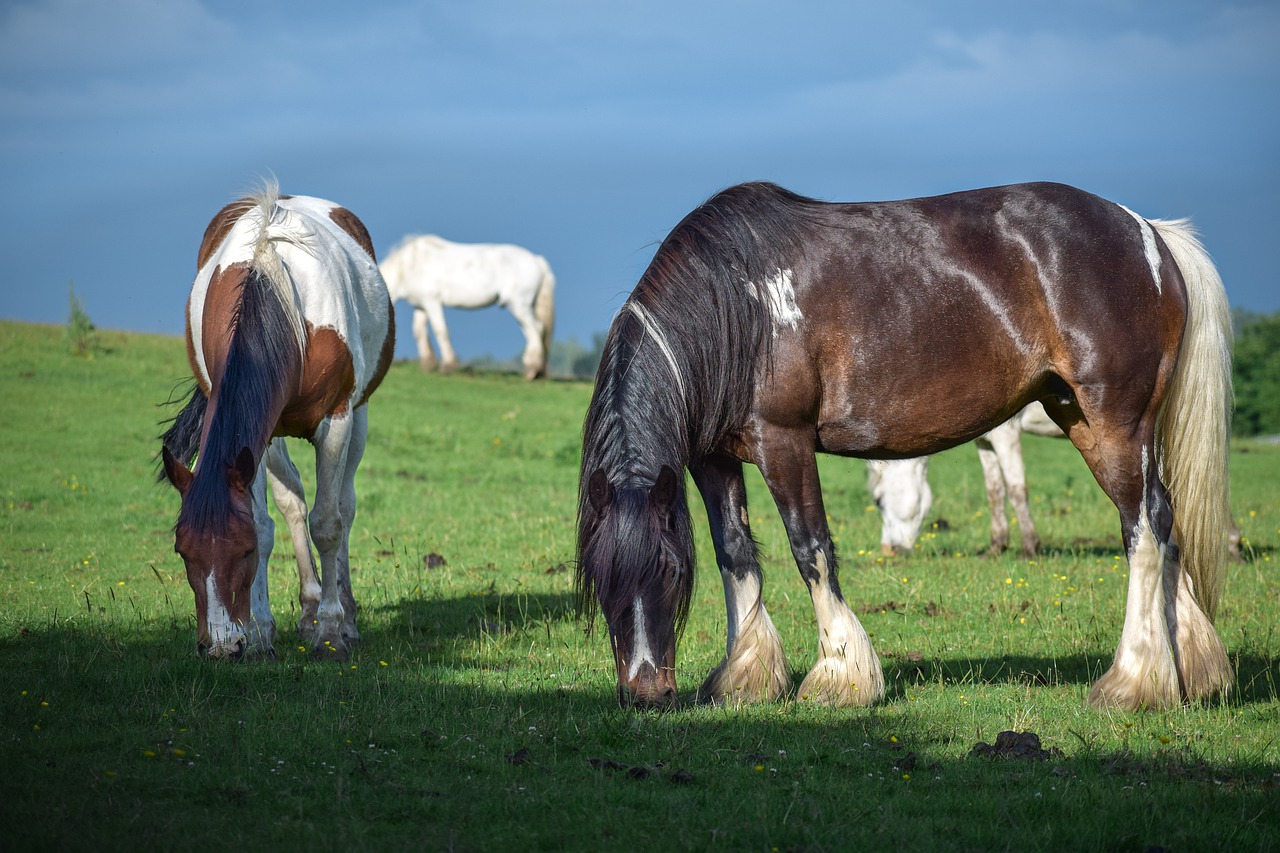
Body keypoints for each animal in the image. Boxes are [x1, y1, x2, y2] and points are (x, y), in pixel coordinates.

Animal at [159, 185, 391, 660]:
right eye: (182, 552)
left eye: (242, 552)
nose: (221, 648)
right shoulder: (256, 441)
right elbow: (267, 523)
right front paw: (261, 632)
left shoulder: (337, 419)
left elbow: (328, 524)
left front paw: (331, 631)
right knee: (293, 504)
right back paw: (307, 609)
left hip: (358, 417)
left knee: (344, 507)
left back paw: (344, 617)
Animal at [378, 233, 560, 379]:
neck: (409, 265)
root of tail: (537, 260)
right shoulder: (421, 305)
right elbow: (419, 332)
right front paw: (428, 365)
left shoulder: (432, 302)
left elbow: (440, 331)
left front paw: (448, 366)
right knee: (534, 332)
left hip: (518, 305)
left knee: (536, 330)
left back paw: (532, 371)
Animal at [578, 180, 1228, 712]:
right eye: (602, 576)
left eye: (668, 572)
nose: (646, 692)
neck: (737, 305)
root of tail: (1149, 232)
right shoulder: (713, 459)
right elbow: (734, 554)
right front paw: (743, 678)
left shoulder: (782, 441)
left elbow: (810, 548)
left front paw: (840, 677)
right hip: (1082, 419)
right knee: (1163, 520)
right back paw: (1191, 670)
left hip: (1116, 422)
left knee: (1141, 531)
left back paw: (1134, 682)